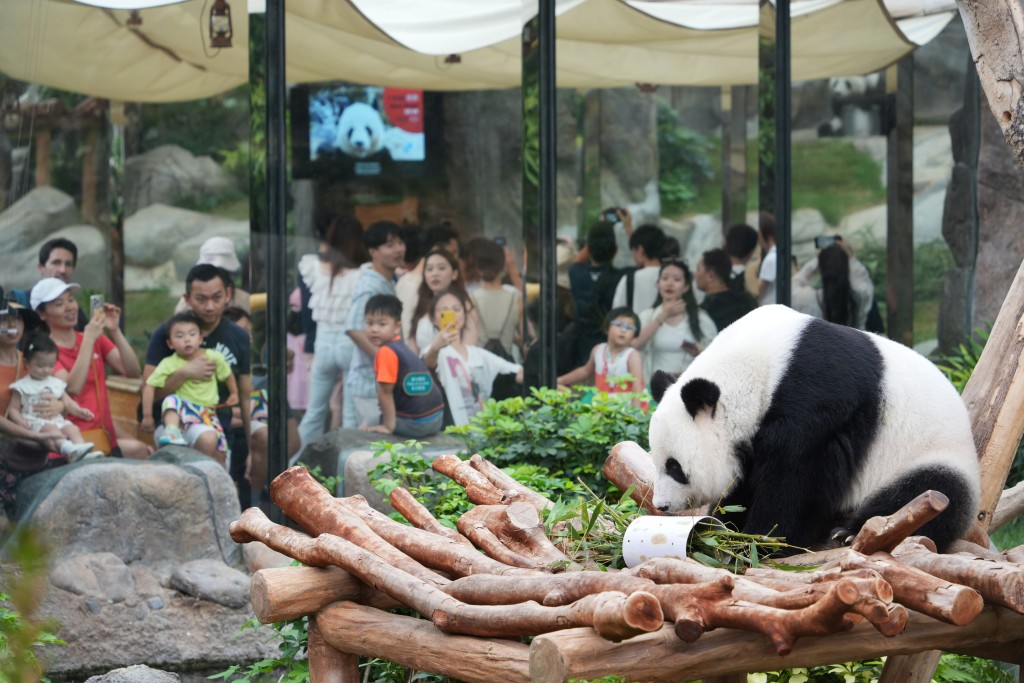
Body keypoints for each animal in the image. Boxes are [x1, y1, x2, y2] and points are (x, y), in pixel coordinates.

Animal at [651, 307, 978, 552]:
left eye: (675, 467)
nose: (661, 505)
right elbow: (749, 478)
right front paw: (724, 525)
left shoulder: (816, 398)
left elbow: (796, 475)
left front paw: (763, 539)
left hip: (934, 457)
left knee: (927, 491)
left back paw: (849, 532)